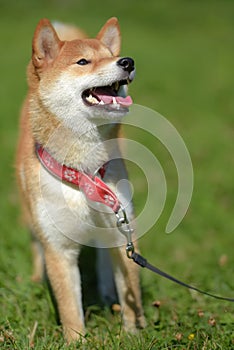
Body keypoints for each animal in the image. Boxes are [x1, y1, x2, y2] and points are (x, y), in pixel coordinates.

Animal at [16, 17, 145, 342]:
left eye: (112, 55)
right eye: (83, 61)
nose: (127, 61)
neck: (84, 172)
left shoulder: (123, 231)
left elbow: (131, 294)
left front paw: (134, 335)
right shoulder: (59, 249)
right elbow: (70, 309)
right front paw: (75, 341)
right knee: (36, 246)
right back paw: (36, 278)